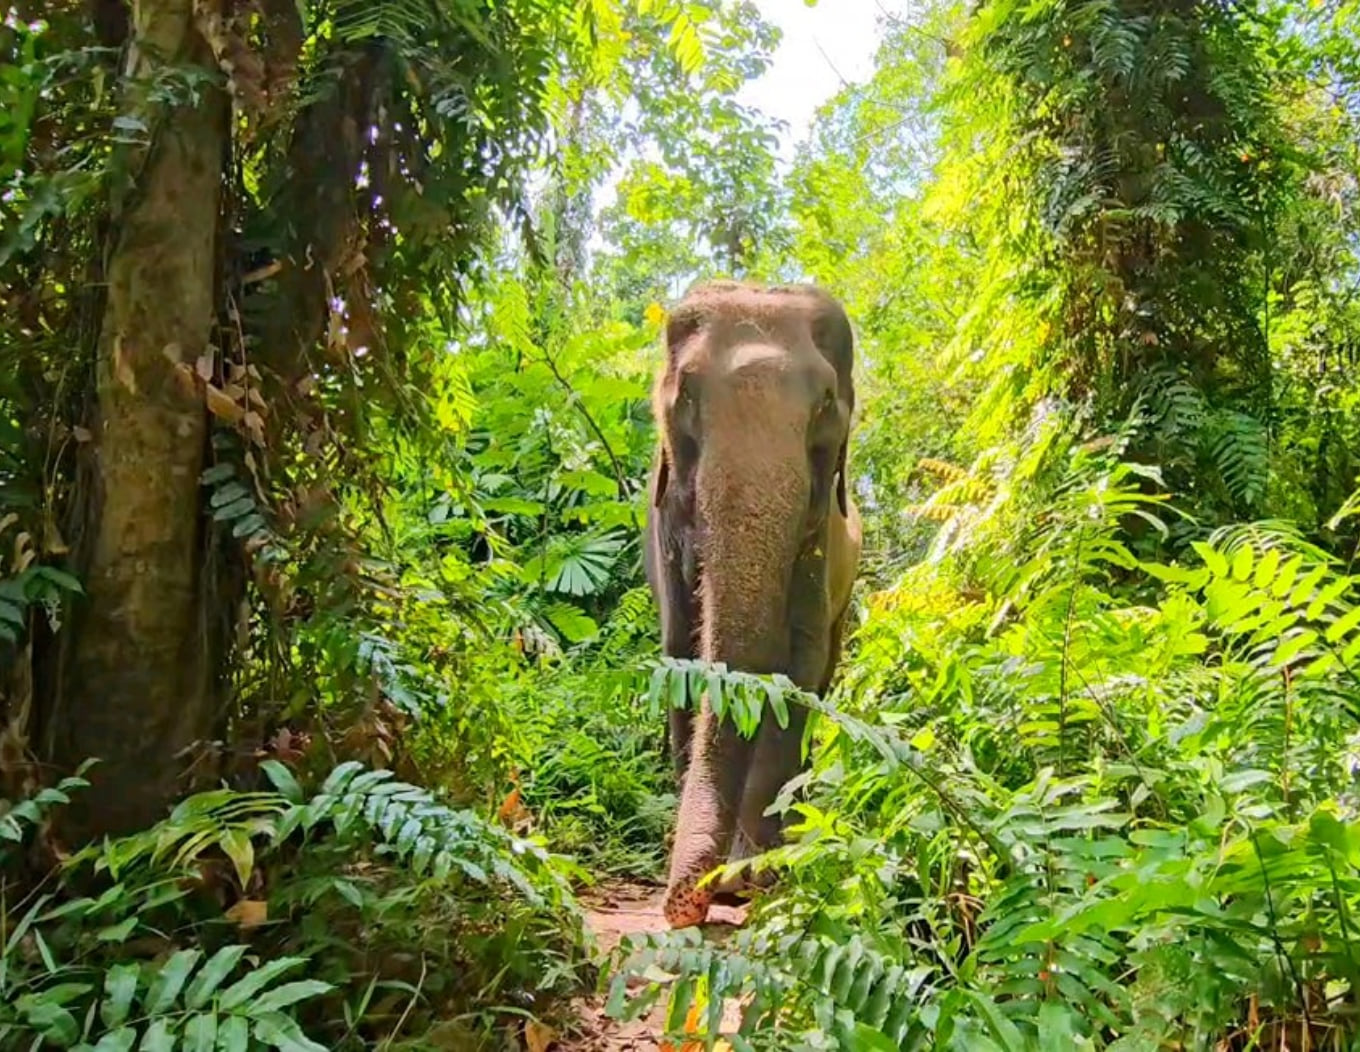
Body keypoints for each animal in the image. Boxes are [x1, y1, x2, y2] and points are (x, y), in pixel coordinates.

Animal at [642, 279, 862, 929]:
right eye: (687, 393)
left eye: (825, 403)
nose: (684, 901)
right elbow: (681, 660)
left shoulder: (821, 541)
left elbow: (799, 674)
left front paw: (753, 880)